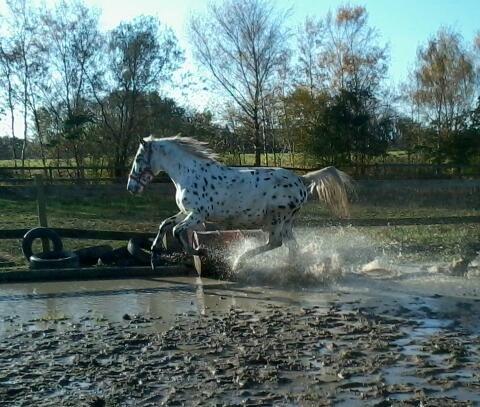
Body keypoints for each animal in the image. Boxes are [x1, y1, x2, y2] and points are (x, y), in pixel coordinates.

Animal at [126, 136, 352, 270]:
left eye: (138, 158)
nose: (131, 187)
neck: (188, 174)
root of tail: (302, 180)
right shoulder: (185, 212)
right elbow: (164, 224)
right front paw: (154, 253)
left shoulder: (197, 215)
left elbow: (176, 231)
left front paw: (200, 252)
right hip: (286, 223)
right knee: (292, 246)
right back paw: (290, 269)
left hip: (276, 219)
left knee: (275, 243)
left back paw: (238, 263)